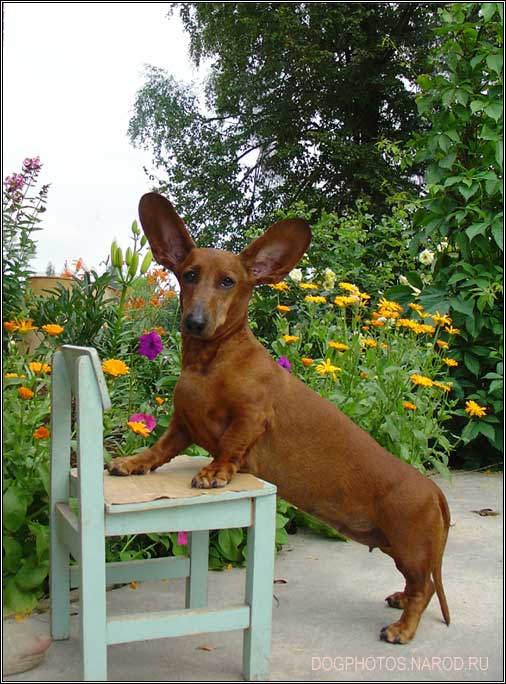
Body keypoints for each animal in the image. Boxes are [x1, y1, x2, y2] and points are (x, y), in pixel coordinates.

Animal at [109, 194, 450, 648]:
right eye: (189, 275)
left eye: (228, 282)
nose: (194, 322)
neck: (212, 360)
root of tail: (433, 489)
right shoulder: (181, 425)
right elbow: (158, 449)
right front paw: (132, 462)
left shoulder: (252, 417)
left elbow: (231, 445)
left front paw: (214, 471)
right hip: (399, 548)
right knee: (418, 586)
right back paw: (397, 600)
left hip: (410, 549)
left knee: (424, 588)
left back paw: (403, 628)